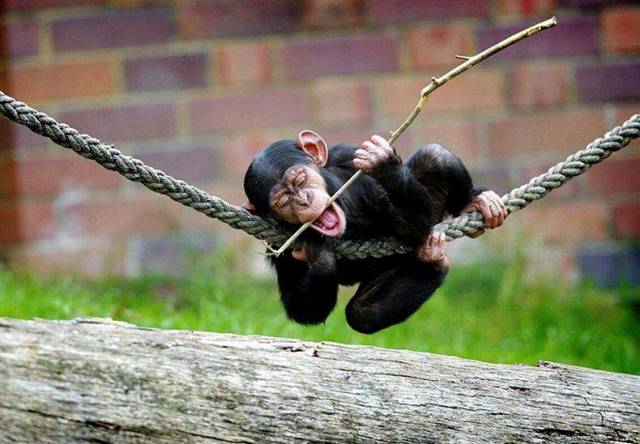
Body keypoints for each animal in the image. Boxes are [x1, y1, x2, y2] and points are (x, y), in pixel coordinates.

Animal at [243, 130, 506, 333]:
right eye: (283, 202)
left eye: (300, 180)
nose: (302, 201)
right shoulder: (278, 244)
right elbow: (302, 308)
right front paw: (318, 252)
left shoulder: (349, 159)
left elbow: (414, 228)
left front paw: (383, 164)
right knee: (361, 313)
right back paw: (433, 262)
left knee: (435, 156)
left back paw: (476, 201)